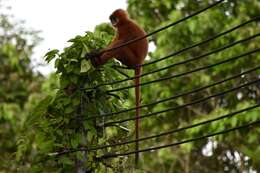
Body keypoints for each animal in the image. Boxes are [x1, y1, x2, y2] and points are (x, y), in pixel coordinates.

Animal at [87, 8, 148, 165]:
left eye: (113, 18)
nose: (112, 22)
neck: (125, 21)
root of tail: (140, 63)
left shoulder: (124, 28)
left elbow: (118, 42)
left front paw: (96, 52)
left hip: (130, 58)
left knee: (120, 47)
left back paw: (97, 61)